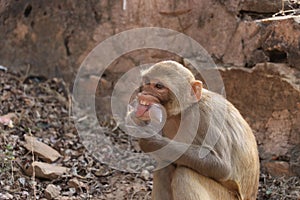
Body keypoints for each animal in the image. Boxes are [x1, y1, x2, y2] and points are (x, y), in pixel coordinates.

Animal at [126, 61, 260, 200]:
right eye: (147, 83)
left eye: (158, 86)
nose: (144, 94)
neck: (184, 111)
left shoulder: (206, 115)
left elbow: (222, 167)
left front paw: (150, 140)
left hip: (226, 197)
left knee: (185, 174)